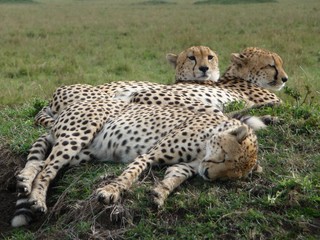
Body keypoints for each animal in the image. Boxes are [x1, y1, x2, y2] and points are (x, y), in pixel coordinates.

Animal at [12, 99, 262, 227]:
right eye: (225, 158)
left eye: (227, 175)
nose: (208, 175)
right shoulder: (150, 154)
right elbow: (129, 175)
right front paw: (110, 192)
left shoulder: (185, 166)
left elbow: (173, 179)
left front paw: (160, 193)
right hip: (78, 135)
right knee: (47, 168)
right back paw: (36, 198)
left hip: (84, 152)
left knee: (41, 163)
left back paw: (25, 181)